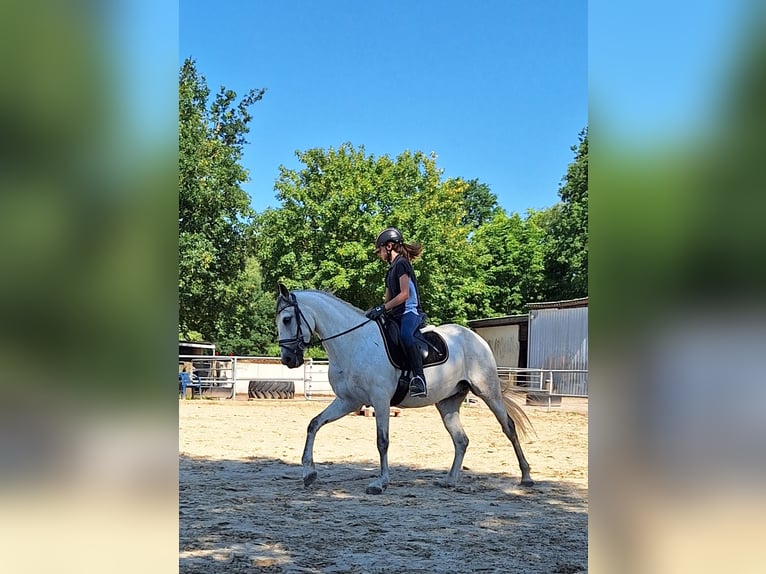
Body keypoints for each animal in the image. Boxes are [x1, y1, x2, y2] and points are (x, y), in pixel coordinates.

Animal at [275, 283, 534, 495]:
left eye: (287, 319)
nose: (288, 359)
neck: (353, 342)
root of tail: (474, 337)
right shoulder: (348, 401)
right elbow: (314, 424)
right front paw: (309, 473)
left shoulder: (380, 400)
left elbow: (382, 441)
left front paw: (380, 483)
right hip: (447, 402)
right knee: (461, 440)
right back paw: (450, 480)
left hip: (487, 391)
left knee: (508, 427)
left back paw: (526, 476)